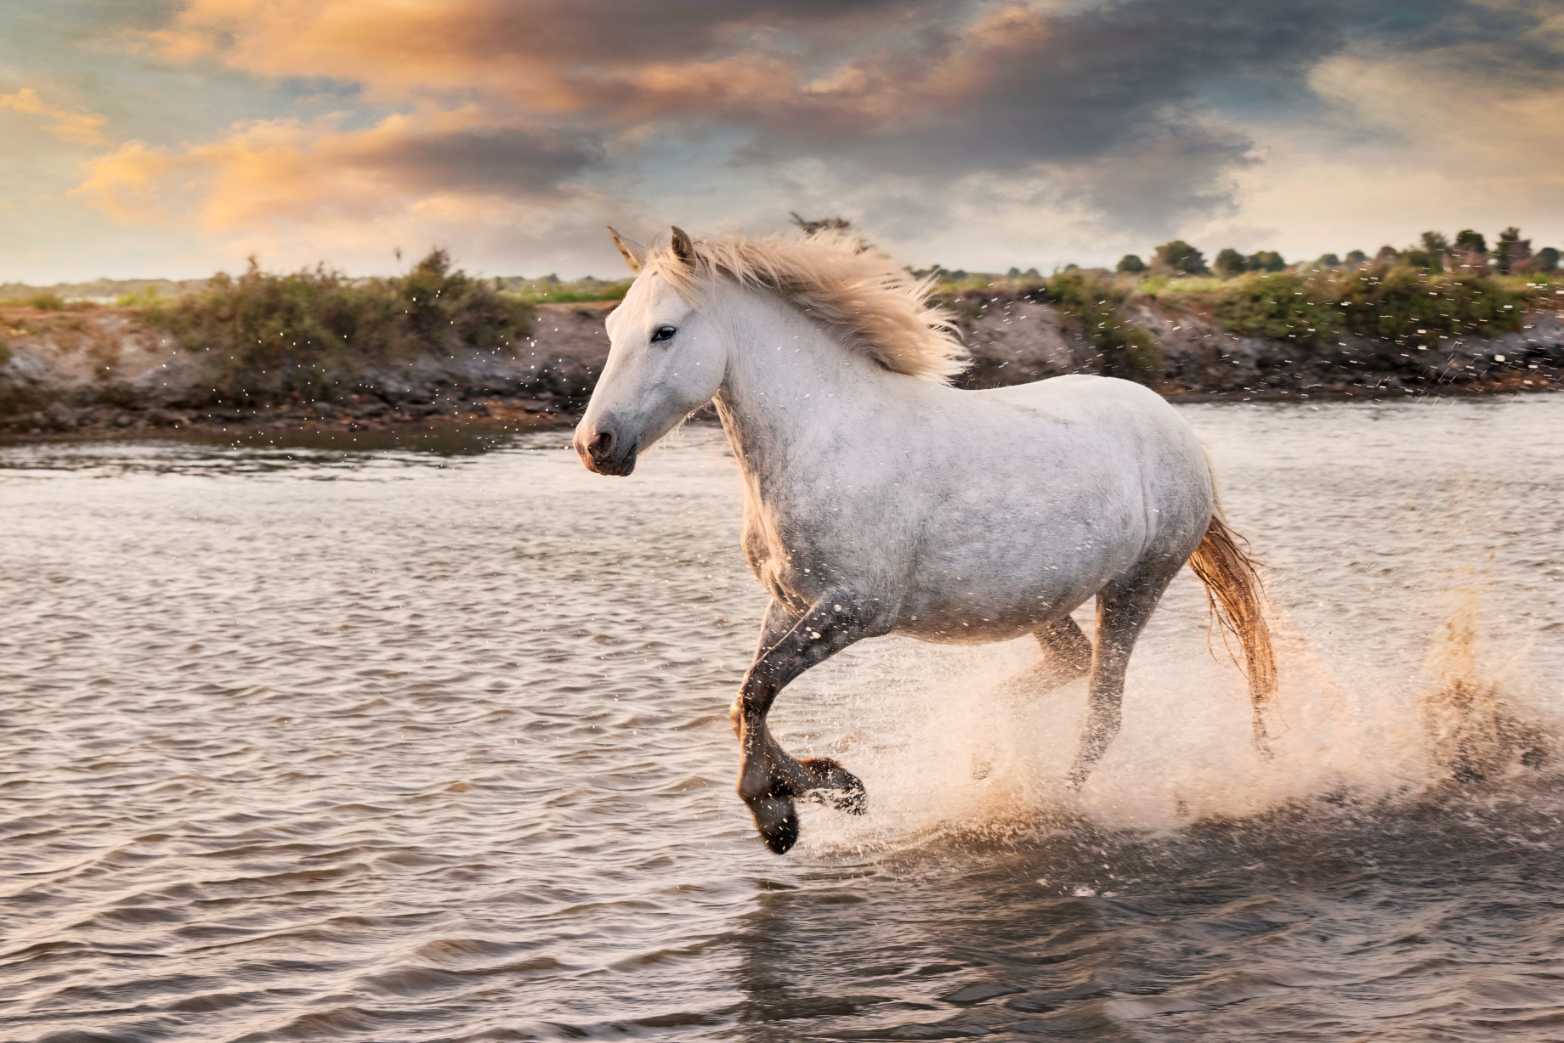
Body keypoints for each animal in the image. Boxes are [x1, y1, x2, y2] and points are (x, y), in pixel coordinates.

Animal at [573, 226, 1277, 855]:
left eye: (664, 331)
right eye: (611, 328)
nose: (593, 445)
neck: (824, 440)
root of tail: (1176, 427)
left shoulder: (855, 610)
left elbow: (757, 689)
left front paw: (784, 812)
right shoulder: (790, 602)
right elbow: (745, 700)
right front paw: (832, 787)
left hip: (1135, 587)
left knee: (1102, 713)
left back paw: (1048, 800)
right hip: (1033, 602)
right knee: (1069, 665)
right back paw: (985, 755)